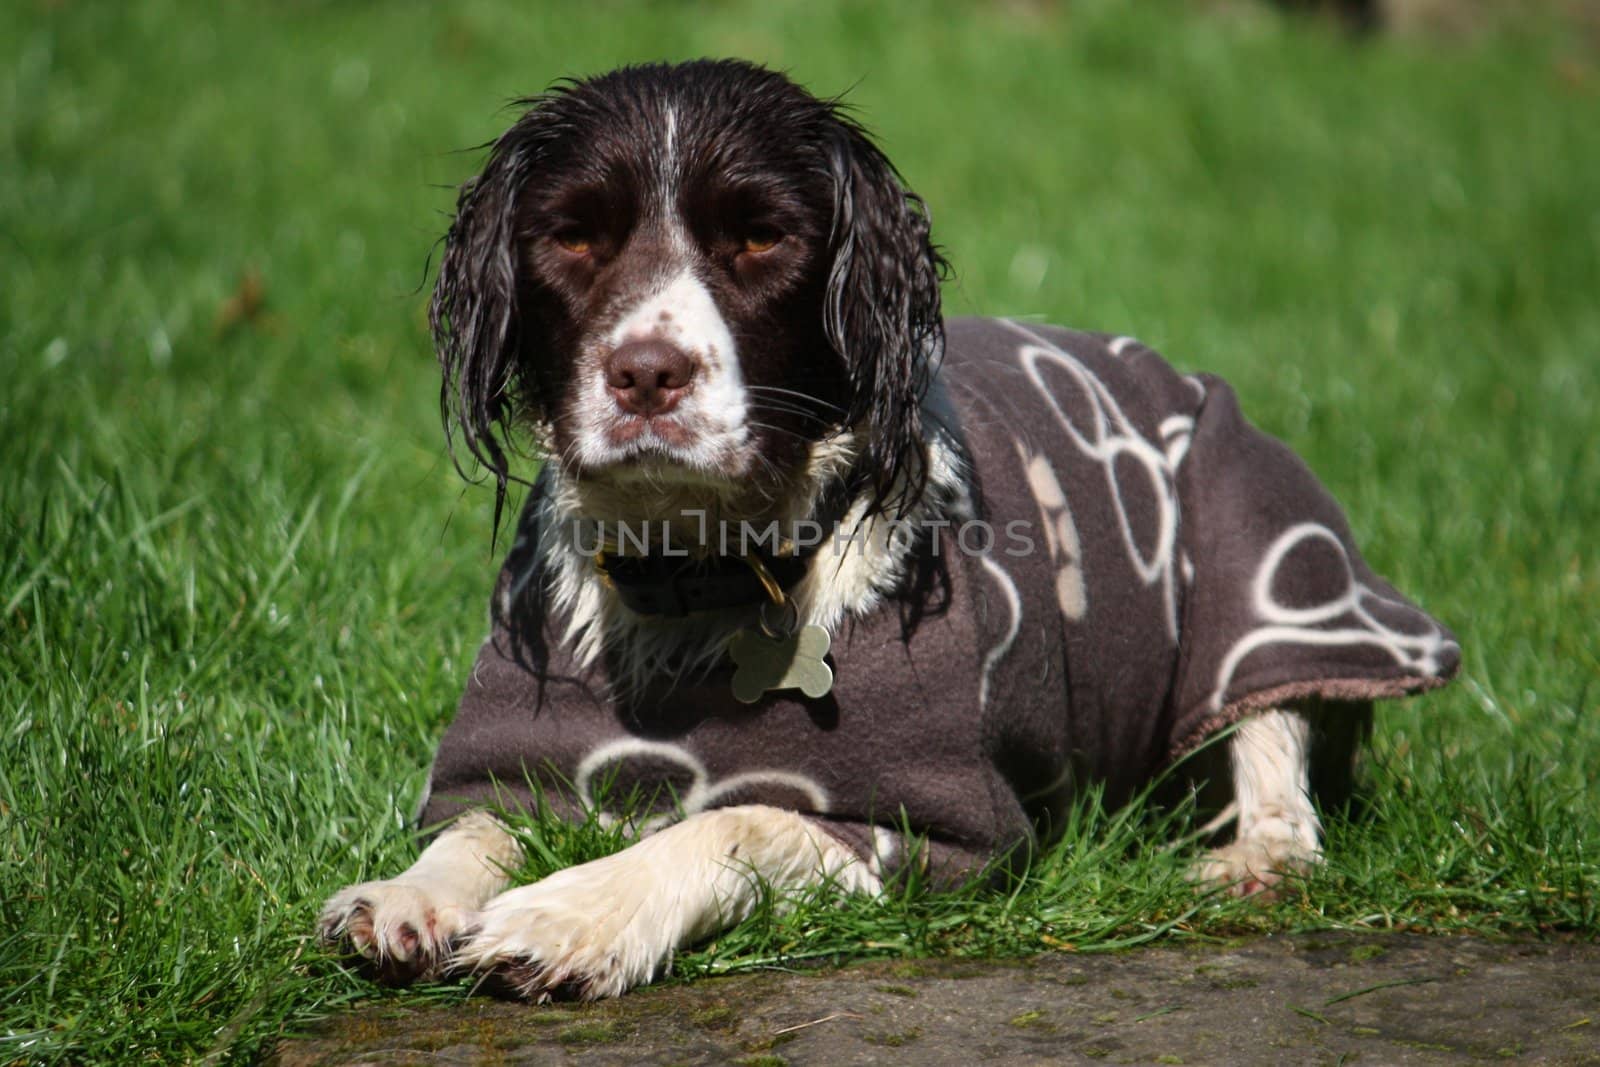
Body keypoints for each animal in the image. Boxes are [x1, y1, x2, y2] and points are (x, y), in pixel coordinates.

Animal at [318, 58, 1459, 1004]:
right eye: (573, 237)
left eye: (761, 236)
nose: (646, 373)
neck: (706, 574)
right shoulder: (531, 758)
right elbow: (478, 823)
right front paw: (405, 894)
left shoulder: (930, 830)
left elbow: (735, 816)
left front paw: (573, 914)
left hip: (1257, 543)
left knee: (1275, 740)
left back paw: (1256, 857)